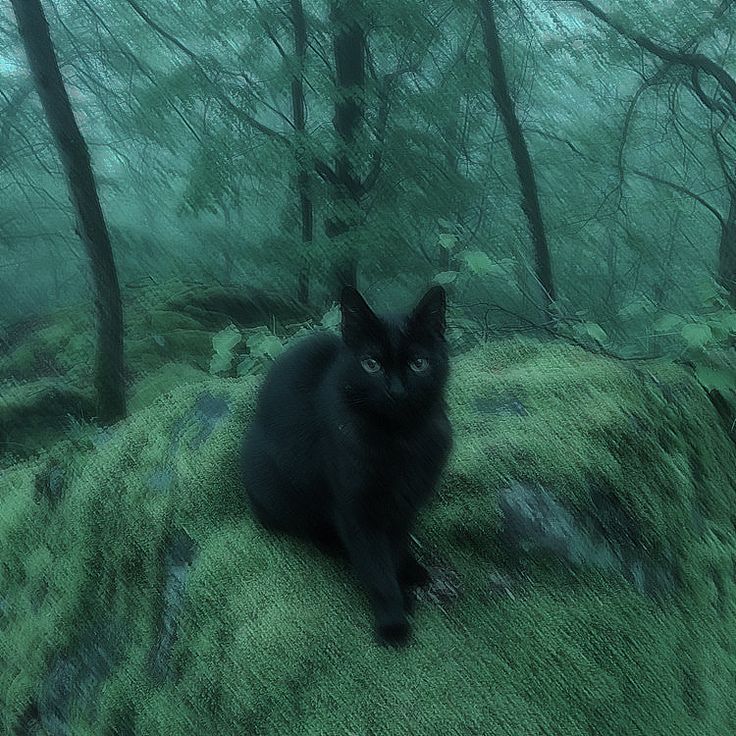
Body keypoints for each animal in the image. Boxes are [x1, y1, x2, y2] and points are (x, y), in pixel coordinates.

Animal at [242, 286, 452, 644]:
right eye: (371, 364)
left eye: (418, 363)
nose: (396, 390)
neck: (399, 440)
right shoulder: (357, 511)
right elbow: (377, 569)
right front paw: (393, 621)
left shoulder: (405, 502)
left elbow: (397, 545)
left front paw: (408, 573)